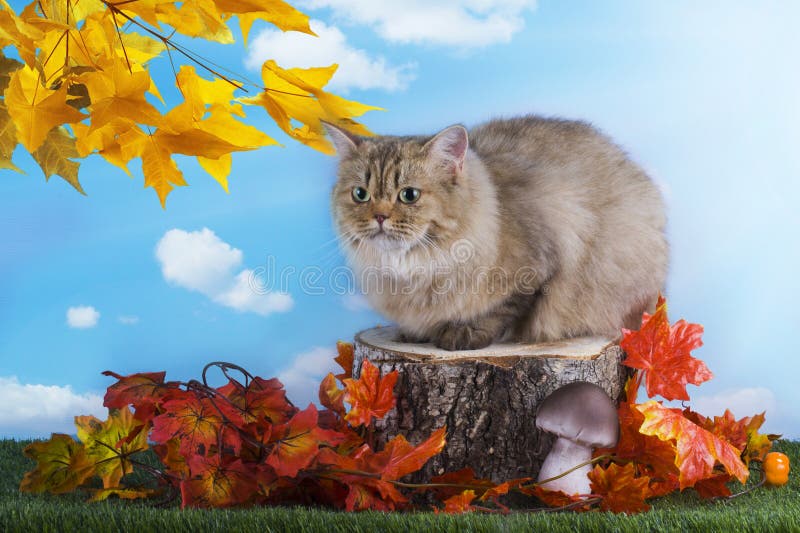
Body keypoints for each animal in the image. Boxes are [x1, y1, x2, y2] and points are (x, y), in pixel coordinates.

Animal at [324, 116, 668, 350]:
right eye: (360, 194)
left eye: (409, 195)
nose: (380, 217)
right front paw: (416, 333)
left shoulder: (538, 268)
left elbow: (501, 311)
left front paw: (463, 334)